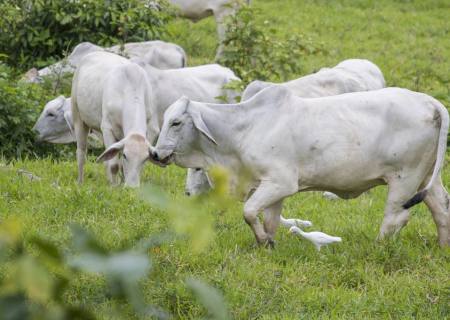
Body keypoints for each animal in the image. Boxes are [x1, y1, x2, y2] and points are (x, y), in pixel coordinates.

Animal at [72, 52, 239, 188]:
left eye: (144, 159)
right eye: (126, 155)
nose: (132, 187)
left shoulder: (151, 128)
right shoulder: (107, 128)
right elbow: (114, 163)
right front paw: (114, 187)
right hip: (78, 117)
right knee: (81, 152)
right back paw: (80, 182)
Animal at [151, 85, 450, 248]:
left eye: (176, 122)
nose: (155, 153)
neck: (243, 129)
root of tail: (429, 102)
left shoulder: (280, 183)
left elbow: (249, 212)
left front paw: (263, 241)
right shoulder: (272, 189)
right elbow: (269, 221)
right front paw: (267, 243)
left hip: (404, 179)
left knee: (396, 218)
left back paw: (378, 247)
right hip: (426, 178)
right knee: (441, 209)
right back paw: (442, 247)